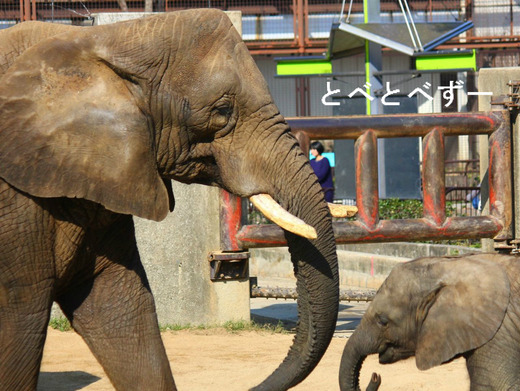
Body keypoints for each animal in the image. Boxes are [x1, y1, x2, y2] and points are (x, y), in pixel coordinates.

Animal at [0, 9, 340, 391]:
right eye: (223, 111)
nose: (253, 385)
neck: (103, 39)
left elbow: (119, 304)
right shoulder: (16, 203)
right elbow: (20, 316)